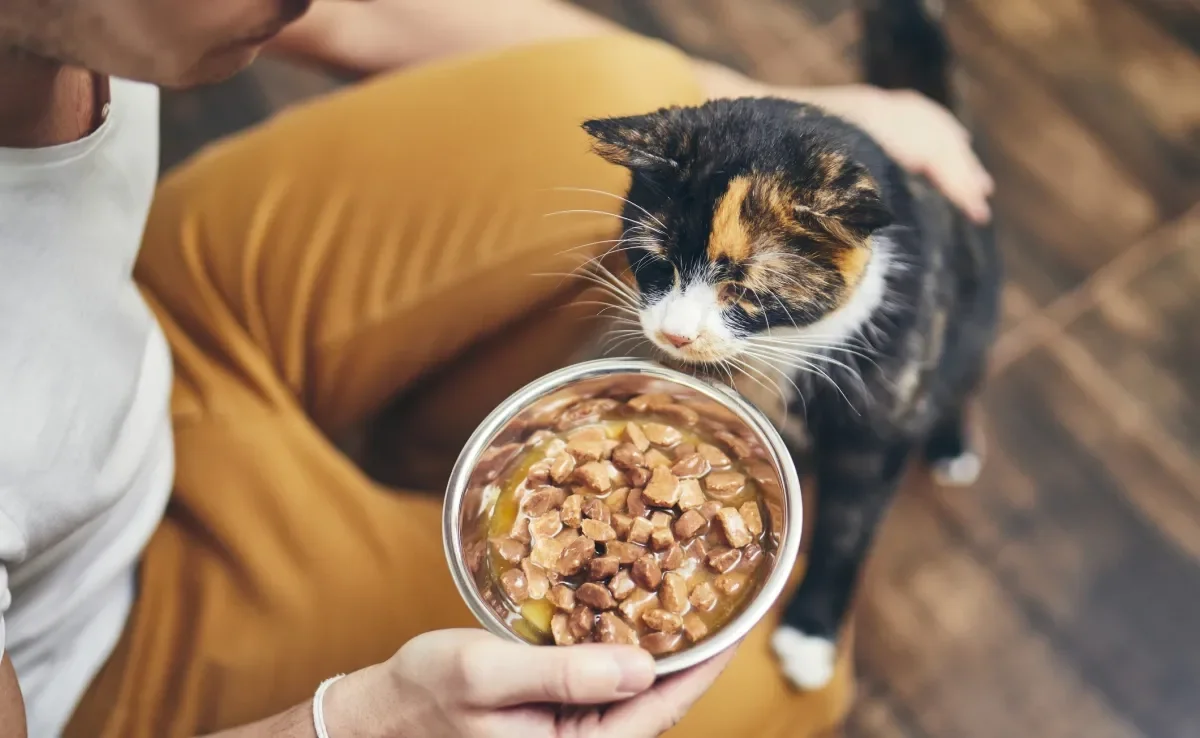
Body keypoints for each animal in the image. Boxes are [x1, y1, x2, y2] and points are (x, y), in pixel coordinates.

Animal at [576, 0, 998, 691]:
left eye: (744, 289)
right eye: (655, 262)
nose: (675, 333)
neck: (783, 349)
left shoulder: (873, 430)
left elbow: (847, 528)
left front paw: (811, 635)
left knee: (963, 375)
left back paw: (951, 440)